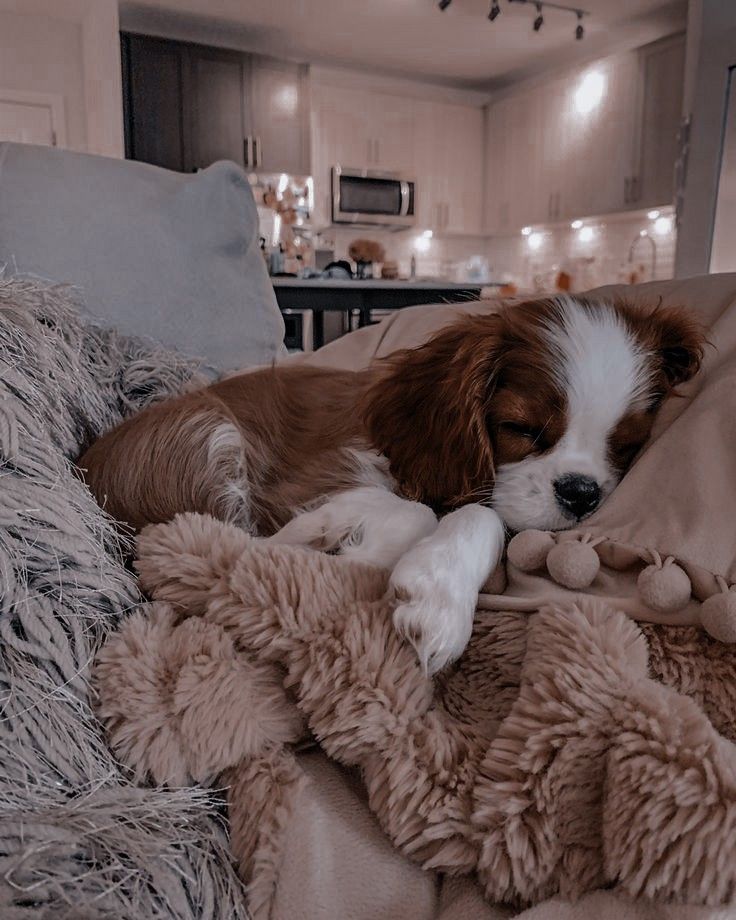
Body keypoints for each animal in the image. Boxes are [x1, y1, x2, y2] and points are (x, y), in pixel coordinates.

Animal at [77, 298, 704, 672]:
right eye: (522, 429)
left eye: (626, 444)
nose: (581, 494)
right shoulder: (300, 482)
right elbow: (429, 513)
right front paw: (374, 559)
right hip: (207, 432)